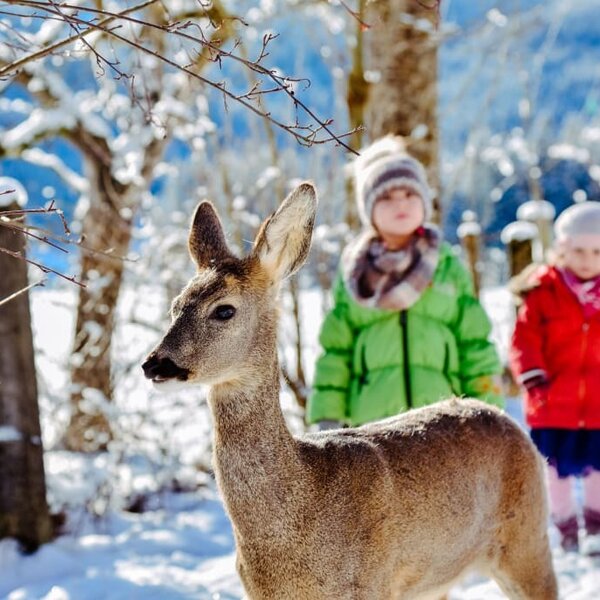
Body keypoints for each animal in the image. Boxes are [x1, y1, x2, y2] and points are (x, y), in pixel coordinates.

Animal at [142, 184, 556, 600]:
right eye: (175, 306)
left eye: (224, 310)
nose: (154, 364)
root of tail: (508, 422)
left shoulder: (371, 583)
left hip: (527, 538)